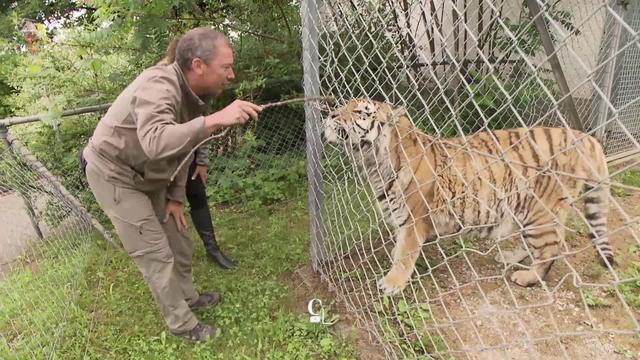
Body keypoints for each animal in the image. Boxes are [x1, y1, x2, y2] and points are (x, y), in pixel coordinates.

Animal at [324, 98, 616, 296]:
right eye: (344, 105)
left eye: (360, 111)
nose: (329, 113)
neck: (374, 163)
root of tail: (583, 136)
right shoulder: (399, 217)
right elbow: (399, 248)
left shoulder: (414, 220)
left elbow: (405, 254)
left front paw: (391, 283)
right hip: (526, 210)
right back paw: (509, 258)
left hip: (540, 211)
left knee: (551, 248)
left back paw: (527, 277)